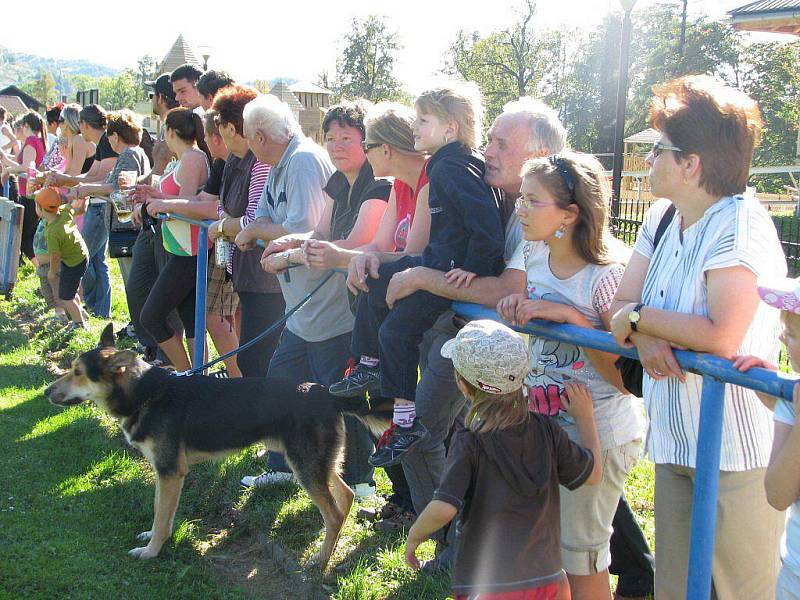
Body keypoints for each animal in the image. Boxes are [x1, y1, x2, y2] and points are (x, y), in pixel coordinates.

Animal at [43, 326, 388, 568]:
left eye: (78, 373)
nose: (46, 392)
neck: (145, 393)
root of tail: (326, 393)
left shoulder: (171, 473)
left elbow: (162, 518)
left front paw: (151, 551)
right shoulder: (163, 474)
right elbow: (158, 510)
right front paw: (151, 538)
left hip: (305, 467)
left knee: (333, 512)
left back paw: (321, 559)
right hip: (314, 465)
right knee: (345, 497)